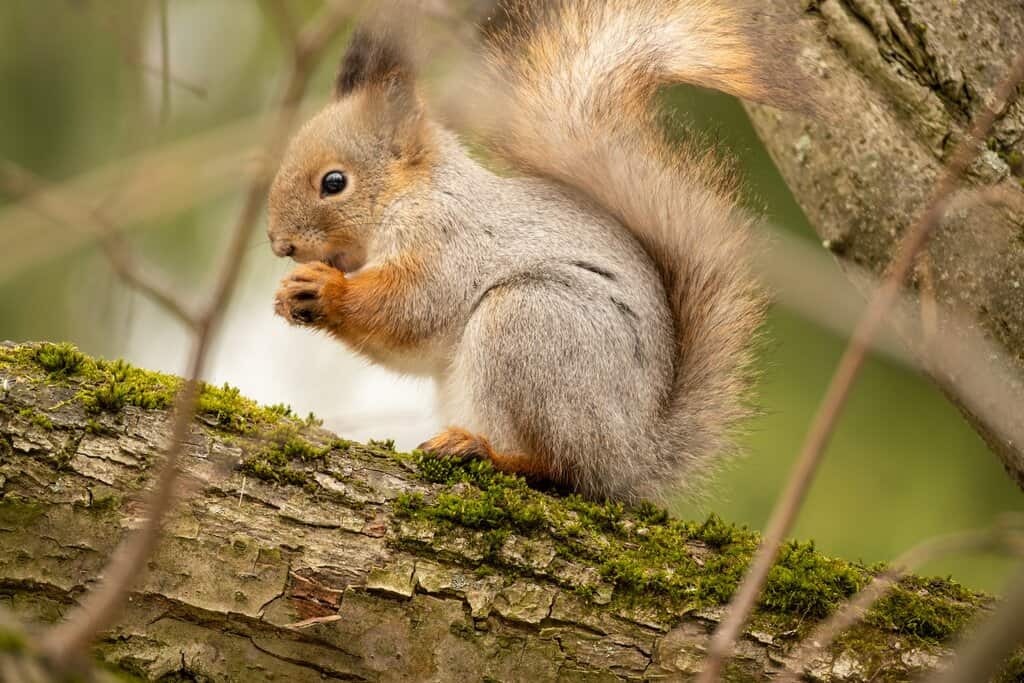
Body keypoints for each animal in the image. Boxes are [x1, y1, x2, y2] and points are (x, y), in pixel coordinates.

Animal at [267, 1, 806, 501]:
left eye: (334, 182)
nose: (279, 244)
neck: (410, 194)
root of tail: (634, 455)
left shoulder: (447, 240)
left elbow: (412, 308)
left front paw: (325, 289)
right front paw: (290, 295)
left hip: (531, 326)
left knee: (561, 469)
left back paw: (485, 451)